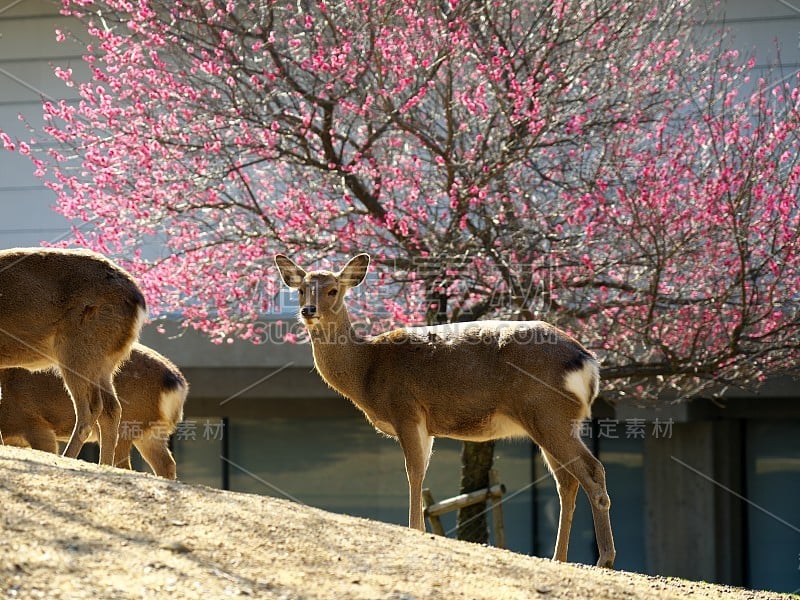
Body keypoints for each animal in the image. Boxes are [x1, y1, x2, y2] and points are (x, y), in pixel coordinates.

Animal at [0, 246, 147, 466]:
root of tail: (138, 301)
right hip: (104, 361)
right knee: (112, 408)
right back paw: (104, 463)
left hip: (78, 349)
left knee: (91, 408)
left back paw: (67, 458)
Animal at [0, 342, 187, 478]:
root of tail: (177, 384)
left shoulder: (35, 423)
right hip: (150, 430)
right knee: (166, 463)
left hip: (129, 423)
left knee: (125, 465)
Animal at [276, 252, 620, 568]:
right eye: (301, 290)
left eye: (333, 289)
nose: (308, 311)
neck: (367, 370)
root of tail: (588, 362)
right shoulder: (426, 425)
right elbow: (422, 472)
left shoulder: (406, 408)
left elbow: (414, 472)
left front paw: (416, 529)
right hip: (552, 420)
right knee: (568, 482)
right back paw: (559, 558)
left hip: (548, 412)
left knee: (591, 471)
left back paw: (604, 559)